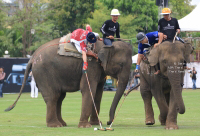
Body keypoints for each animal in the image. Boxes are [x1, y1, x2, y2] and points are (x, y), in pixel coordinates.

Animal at [4, 37, 132, 127]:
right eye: (121, 64)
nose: (108, 122)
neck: (107, 44)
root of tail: (32, 57)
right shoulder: (91, 65)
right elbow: (88, 89)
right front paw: (85, 126)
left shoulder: (99, 69)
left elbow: (98, 93)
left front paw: (96, 124)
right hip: (43, 72)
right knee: (53, 96)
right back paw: (55, 125)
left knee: (59, 97)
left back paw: (62, 124)